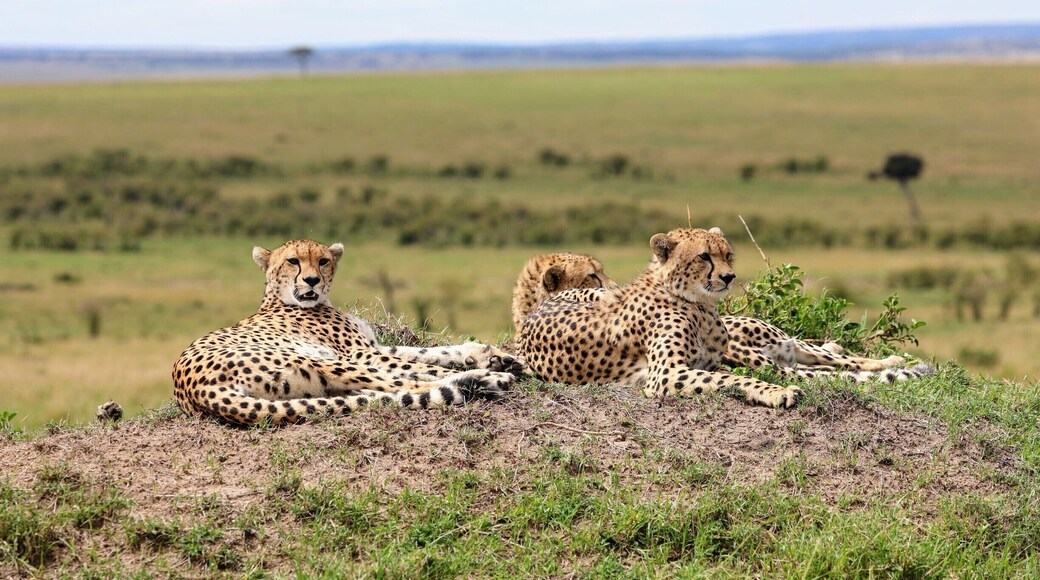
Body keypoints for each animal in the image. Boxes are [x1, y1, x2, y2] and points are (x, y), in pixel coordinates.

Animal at [173, 239, 521, 426]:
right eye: (293, 261)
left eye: (323, 261)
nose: (312, 280)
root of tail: (190, 390)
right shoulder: (360, 352)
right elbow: (421, 364)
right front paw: (490, 365)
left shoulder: (372, 346)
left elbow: (427, 352)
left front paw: (489, 354)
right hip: (322, 361)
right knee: (406, 381)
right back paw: (489, 380)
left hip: (310, 384)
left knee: (381, 387)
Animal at [515, 227, 930, 409]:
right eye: (704, 256)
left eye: (728, 254)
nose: (729, 277)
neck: (698, 305)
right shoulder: (667, 374)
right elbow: (732, 379)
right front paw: (777, 394)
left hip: (779, 344)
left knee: (830, 357)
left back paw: (895, 361)